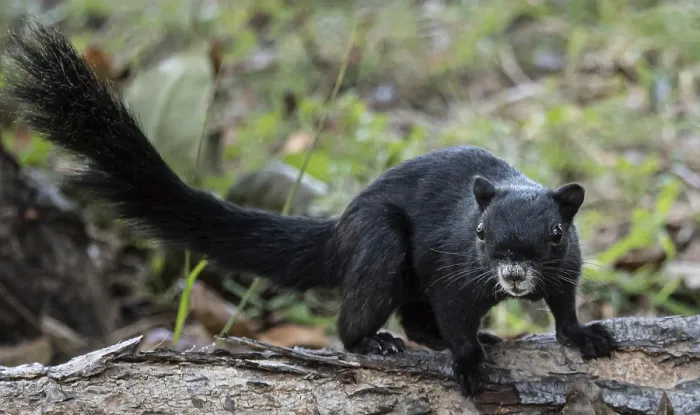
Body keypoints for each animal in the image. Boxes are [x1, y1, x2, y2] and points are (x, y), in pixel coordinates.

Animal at [1, 21, 616, 396]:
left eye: (556, 233)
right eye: (482, 233)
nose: (512, 275)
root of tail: (340, 230)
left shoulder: (567, 268)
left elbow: (563, 307)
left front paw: (584, 336)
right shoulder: (453, 269)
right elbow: (455, 316)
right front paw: (467, 365)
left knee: (416, 319)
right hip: (382, 246)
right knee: (367, 320)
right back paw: (375, 341)